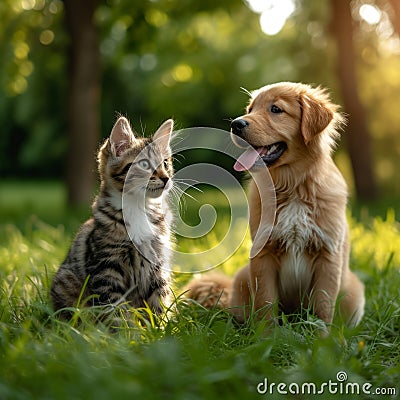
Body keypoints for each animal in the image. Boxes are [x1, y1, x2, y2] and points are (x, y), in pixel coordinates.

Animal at [50, 115, 173, 318]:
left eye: (165, 164)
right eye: (144, 164)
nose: (166, 178)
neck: (138, 209)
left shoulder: (157, 264)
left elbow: (159, 303)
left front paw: (160, 326)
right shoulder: (106, 268)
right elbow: (116, 310)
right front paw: (126, 327)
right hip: (67, 282)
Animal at [186, 81, 364, 328]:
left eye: (276, 109)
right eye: (250, 109)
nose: (235, 124)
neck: (293, 187)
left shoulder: (328, 256)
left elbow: (322, 307)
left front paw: (321, 336)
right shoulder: (263, 254)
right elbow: (266, 303)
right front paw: (267, 335)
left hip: (354, 291)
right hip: (242, 276)